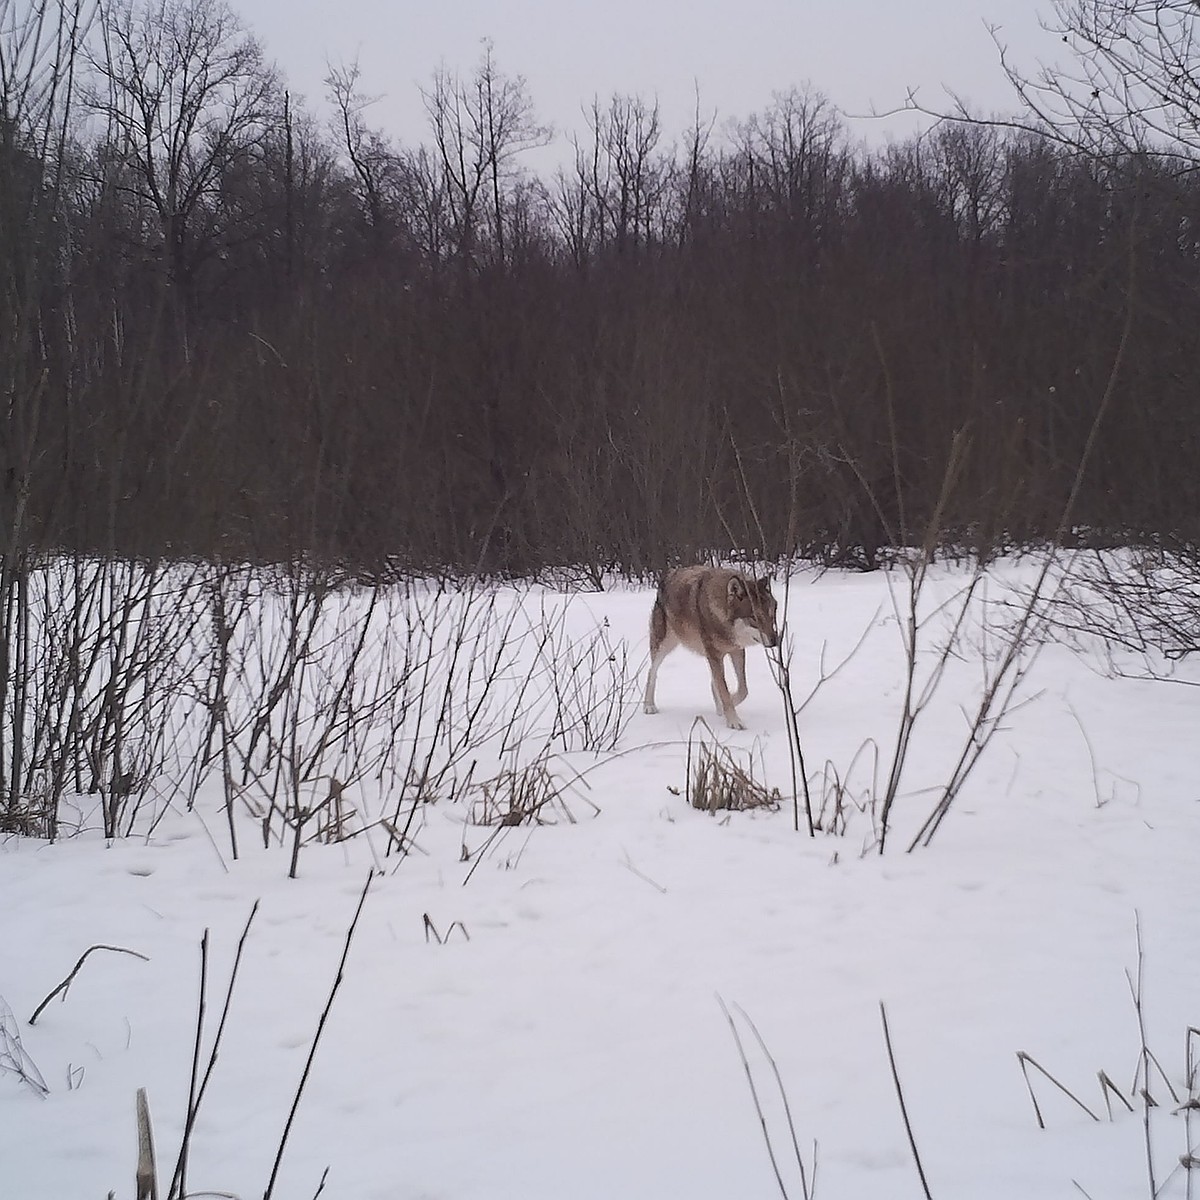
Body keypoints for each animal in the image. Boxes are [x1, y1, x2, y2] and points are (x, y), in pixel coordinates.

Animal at [643, 564, 782, 729]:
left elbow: (742, 689)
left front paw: (724, 708)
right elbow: (725, 691)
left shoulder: (737, 651)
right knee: (652, 671)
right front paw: (734, 721)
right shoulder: (714, 655)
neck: (721, 619)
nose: (775, 641)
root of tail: (669, 574)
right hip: (663, 646)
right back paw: (649, 706)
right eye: (754, 618)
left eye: (772, 614)